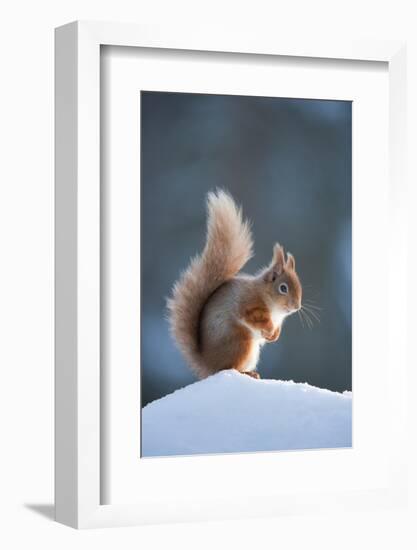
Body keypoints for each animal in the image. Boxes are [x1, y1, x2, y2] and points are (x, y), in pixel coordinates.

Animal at [167, 190, 302, 380]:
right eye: (283, 288)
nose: (297, 307)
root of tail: (208, 366)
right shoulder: (249, 304)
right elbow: (253, 317)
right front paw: (268, 330)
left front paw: (274, 336)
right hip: (241, 343)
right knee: (229, 367)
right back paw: (246, 373)